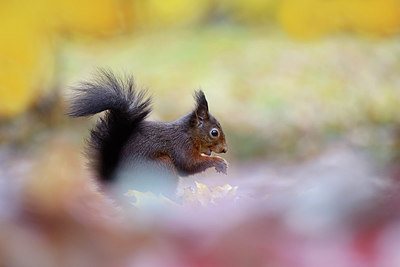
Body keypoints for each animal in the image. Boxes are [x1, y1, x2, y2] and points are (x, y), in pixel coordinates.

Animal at [67, 69, 227, 188]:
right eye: (214, 132)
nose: (225, 149)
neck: (189, 133)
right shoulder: (181, 145)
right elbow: (188, 164)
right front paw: (219, 162)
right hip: (161, 167)